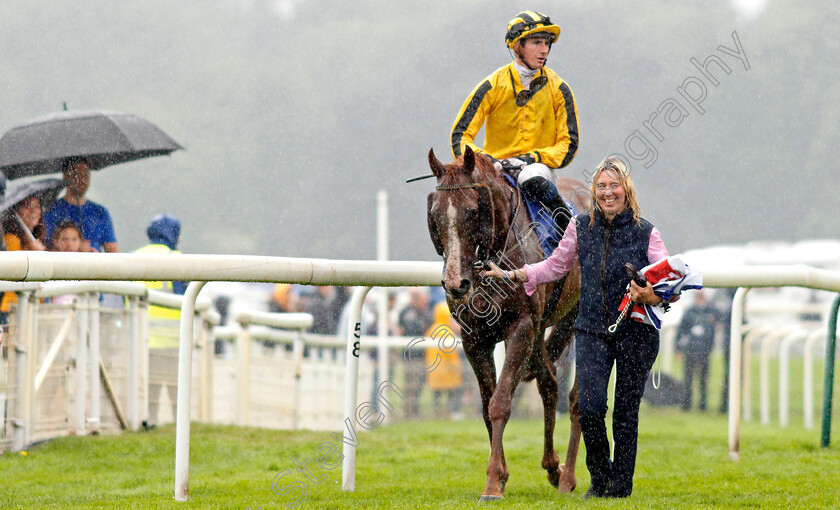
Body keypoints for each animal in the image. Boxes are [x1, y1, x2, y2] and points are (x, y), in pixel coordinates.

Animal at [426, 145, 592, 500]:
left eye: (473, 210)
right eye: (436, 213)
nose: (456, 283)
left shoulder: (522, 327)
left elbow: (500, 402)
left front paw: (491, 483)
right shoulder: (475, 338)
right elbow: (486, 406)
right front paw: (501, 474)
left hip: (574, 319)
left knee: (575, 397)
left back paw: (569, 476)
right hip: (543, 328)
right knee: (549, 382)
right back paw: (553, 466)